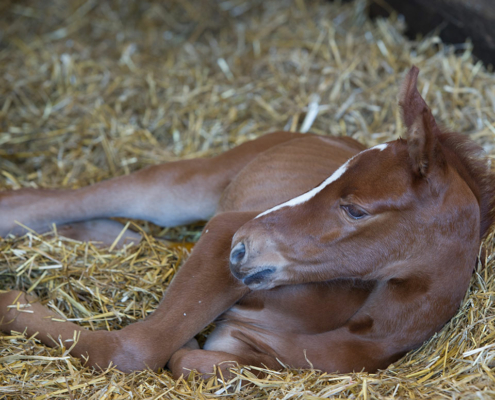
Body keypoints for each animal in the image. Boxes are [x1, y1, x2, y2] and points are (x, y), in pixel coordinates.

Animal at [0, 67, 495, 380]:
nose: (243, 246)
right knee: (63, 200)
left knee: (131, 236)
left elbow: (193, 361)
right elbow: (137, 348)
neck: (363, 328)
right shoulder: (225, 230)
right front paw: (12, 301)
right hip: (188, 189)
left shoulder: (252, 351)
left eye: (356, 209)